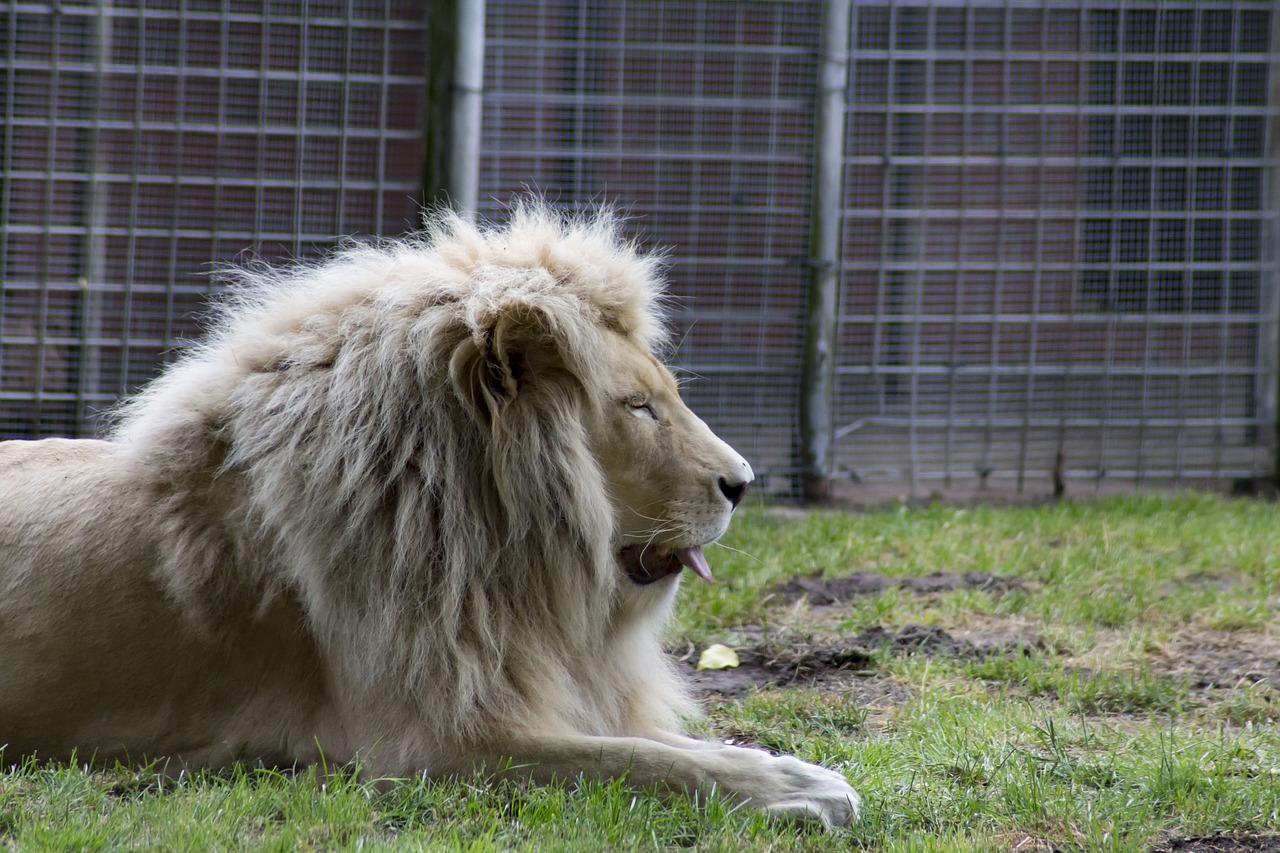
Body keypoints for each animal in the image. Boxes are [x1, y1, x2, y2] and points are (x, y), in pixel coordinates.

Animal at [2, 201, 860, 824]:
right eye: (640, 407)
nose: (743, 481)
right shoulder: (427, 742)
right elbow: (639, 758)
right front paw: (799, 787)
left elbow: (662, 744)